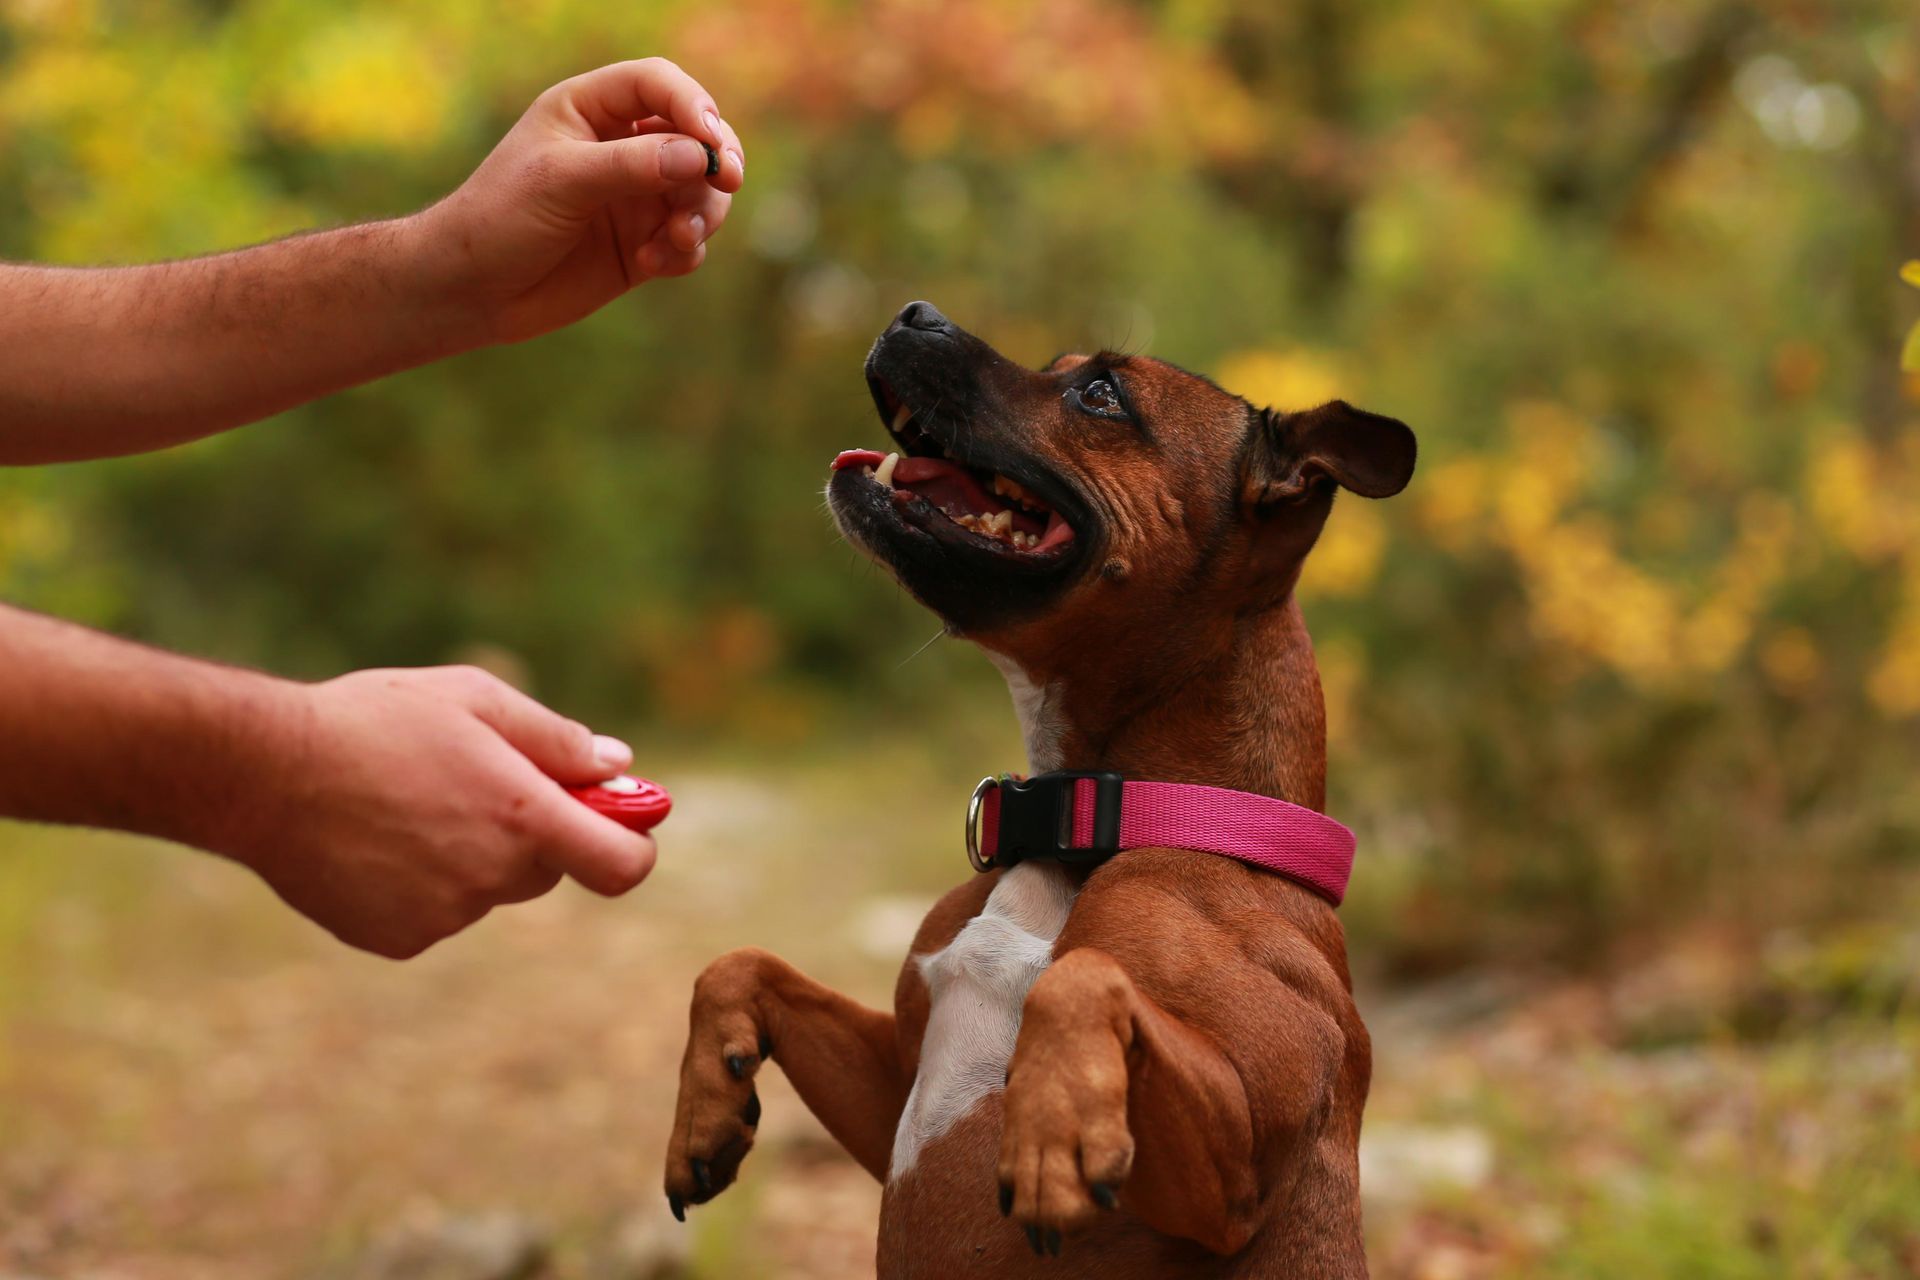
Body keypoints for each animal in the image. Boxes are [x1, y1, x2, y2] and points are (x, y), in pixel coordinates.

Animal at [668, 305, 1420, 1274]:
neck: (1092, 821)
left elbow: (1083, 976)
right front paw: (705, 1104)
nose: (917, 313)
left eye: (1100, 393)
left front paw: (1050, 1128)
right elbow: (742, 962)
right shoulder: (889, 1086)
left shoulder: (1238, 1163)